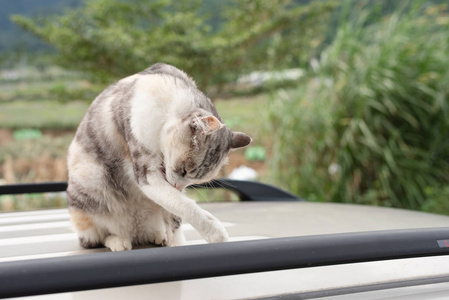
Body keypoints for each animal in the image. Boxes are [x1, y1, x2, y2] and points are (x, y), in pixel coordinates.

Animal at [65, 62, 252, 251]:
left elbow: (174, 213)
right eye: (184, 170)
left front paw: (177, 244)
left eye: (196, 180)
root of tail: (134, 232)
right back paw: (118, 241)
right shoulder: (146, 174)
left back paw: (158, 236)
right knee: (94, 239)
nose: (177, 186)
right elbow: (184, 204)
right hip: (91, 179)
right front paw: (215, 232)